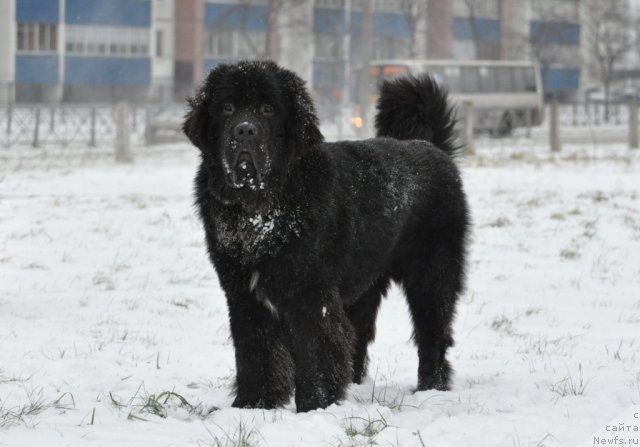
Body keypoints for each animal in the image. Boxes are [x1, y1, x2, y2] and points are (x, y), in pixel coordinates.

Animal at [182, 59, 468, 412]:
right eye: (227, 108)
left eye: (267, 109)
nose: (245, 130)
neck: (261, 209)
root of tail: (430, 146)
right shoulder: (244, 294)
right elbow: (256, 353)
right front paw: (253, 405)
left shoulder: (310, 294)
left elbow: (316, 350)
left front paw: (315, 406)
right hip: (364, 285)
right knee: (359, 336)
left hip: (431, 274)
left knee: (432, 333)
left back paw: (431, 389)